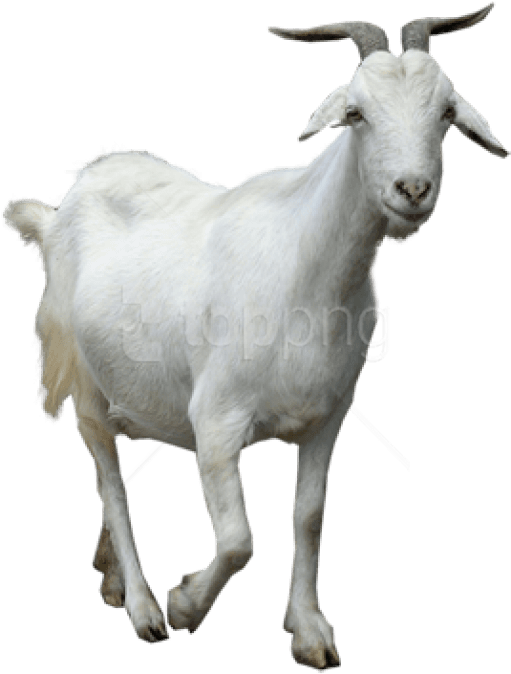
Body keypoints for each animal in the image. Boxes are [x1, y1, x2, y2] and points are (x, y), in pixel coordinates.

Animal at [2, 4, 507, 670]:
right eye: (355, 113)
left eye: (447, 113)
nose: (412, 190)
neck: (305, 269)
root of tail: (65, 206)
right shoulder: (216, 420)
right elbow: (240, 539)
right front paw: (186, 604)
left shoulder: (328, 415)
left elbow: (309, 516)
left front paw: (310, 631)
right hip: (86, 389)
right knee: (110, 484)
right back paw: (143, 609)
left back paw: (110, 576)